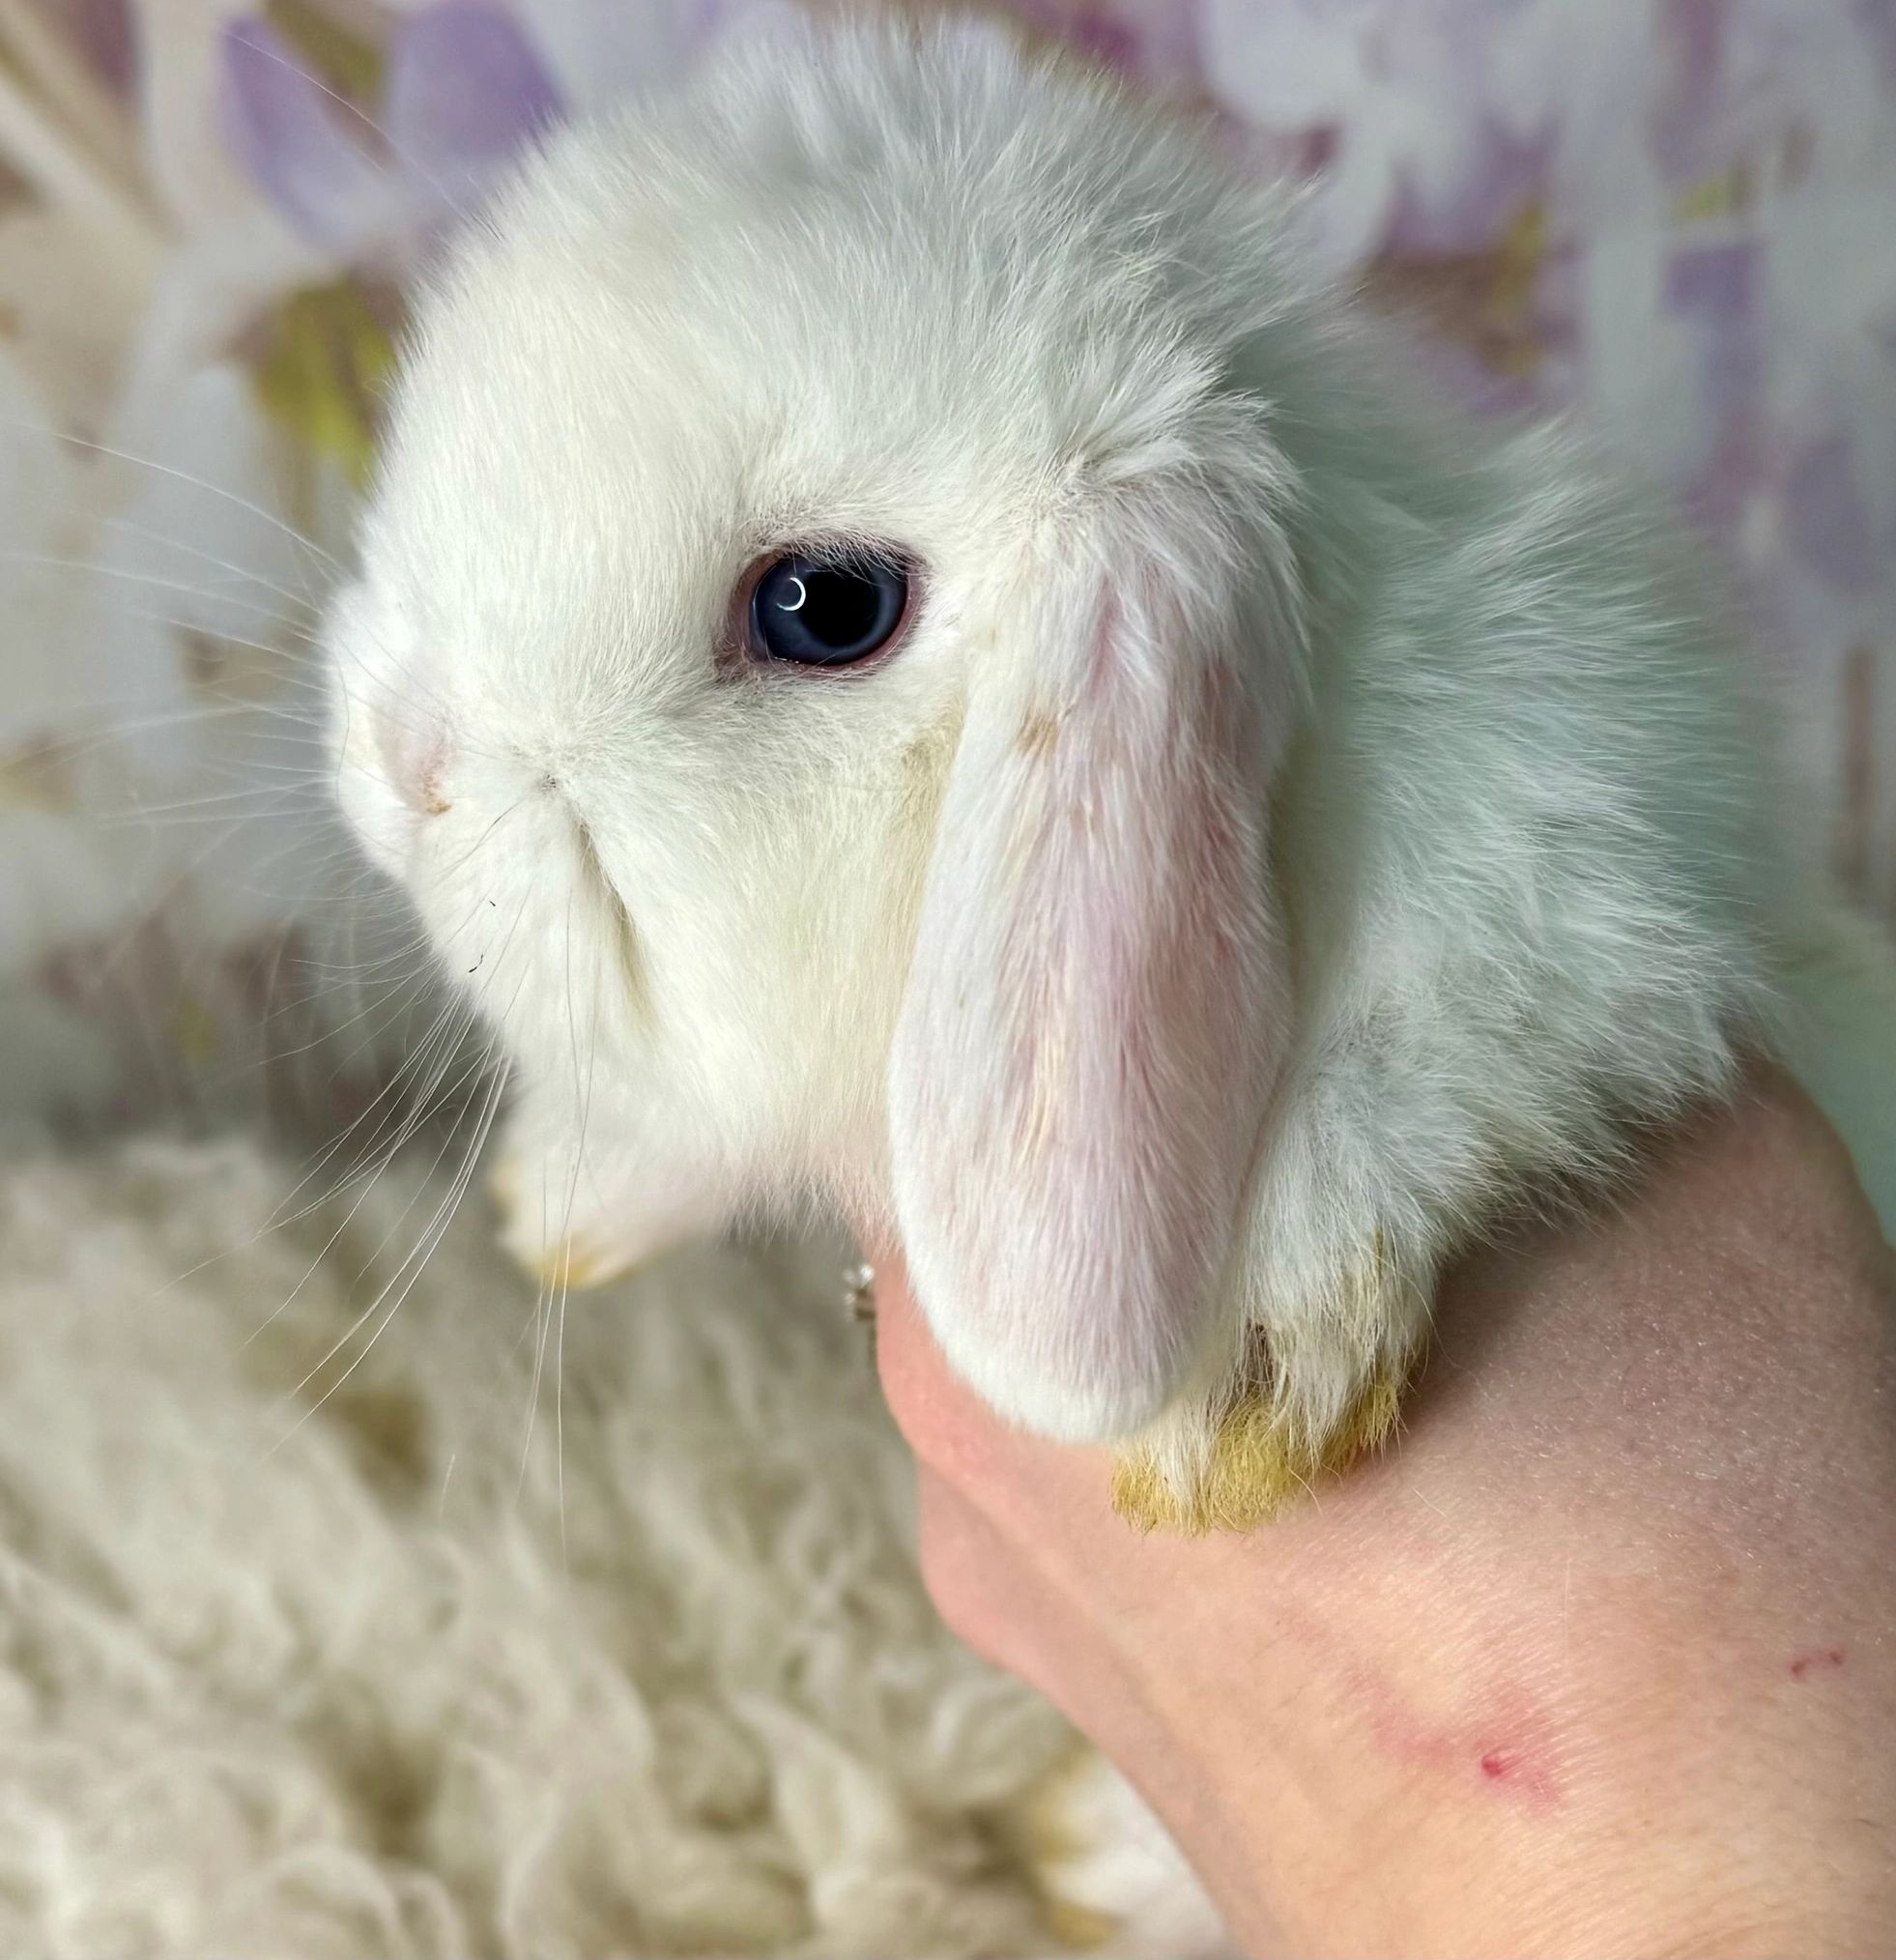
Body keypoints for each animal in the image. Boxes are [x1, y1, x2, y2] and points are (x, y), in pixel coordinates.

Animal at [325, 11, 1896, 1528]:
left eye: (822, 608)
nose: (408, 763)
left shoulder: (1602, 872)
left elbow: (1489, 1044)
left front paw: (1249, 1373)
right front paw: (560, 1203)